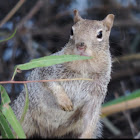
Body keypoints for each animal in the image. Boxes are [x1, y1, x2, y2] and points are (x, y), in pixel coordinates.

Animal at [10, 9, 114, 138]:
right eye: (72, 30)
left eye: (100, 34)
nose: (80, 45)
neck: (84, 66)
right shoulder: (48, 69)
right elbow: (49, 82)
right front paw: (65, 101)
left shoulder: (96, 95)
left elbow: (91, 119)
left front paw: (86, 135)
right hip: (19, 117)